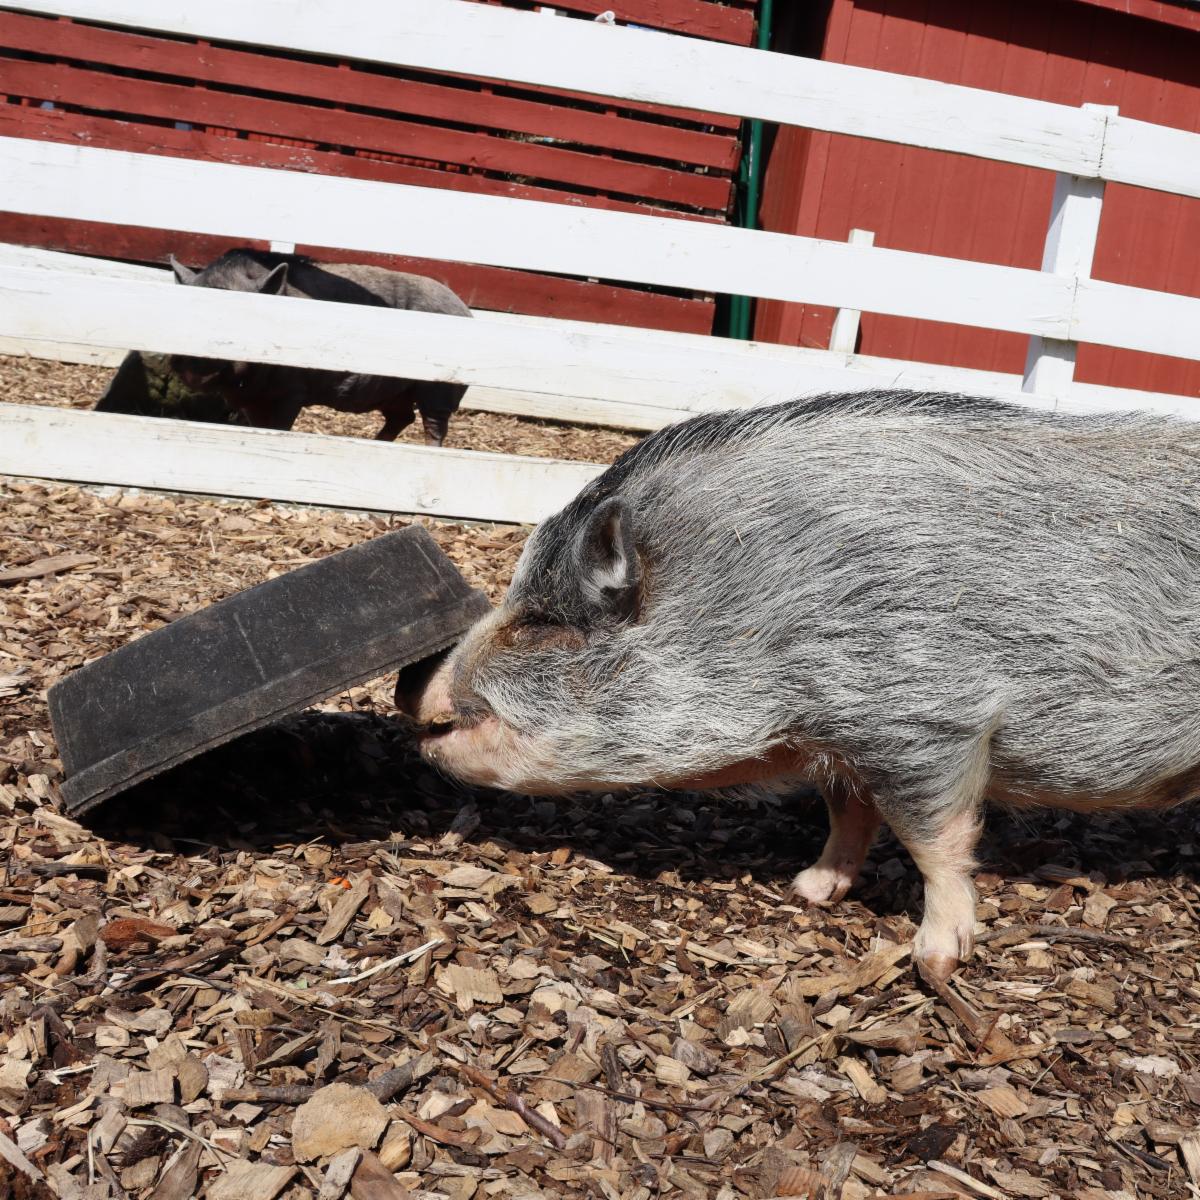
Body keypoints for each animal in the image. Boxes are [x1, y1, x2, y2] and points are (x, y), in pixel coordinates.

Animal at [168, 248, 471, 445]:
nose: (195, 368)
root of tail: (465, 310)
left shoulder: (292, 391)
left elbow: (277, 426)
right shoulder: (251, 399)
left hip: (440, 388)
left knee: (434, 424)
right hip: (395, 393)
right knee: (403, 417)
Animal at [398, 389, 1200, 982]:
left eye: (542, 624)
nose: (414, 690)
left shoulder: (923, 714)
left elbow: (935, 839)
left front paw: (935, 962)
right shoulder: (838, 743)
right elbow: (850, 815)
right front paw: (808, 891)